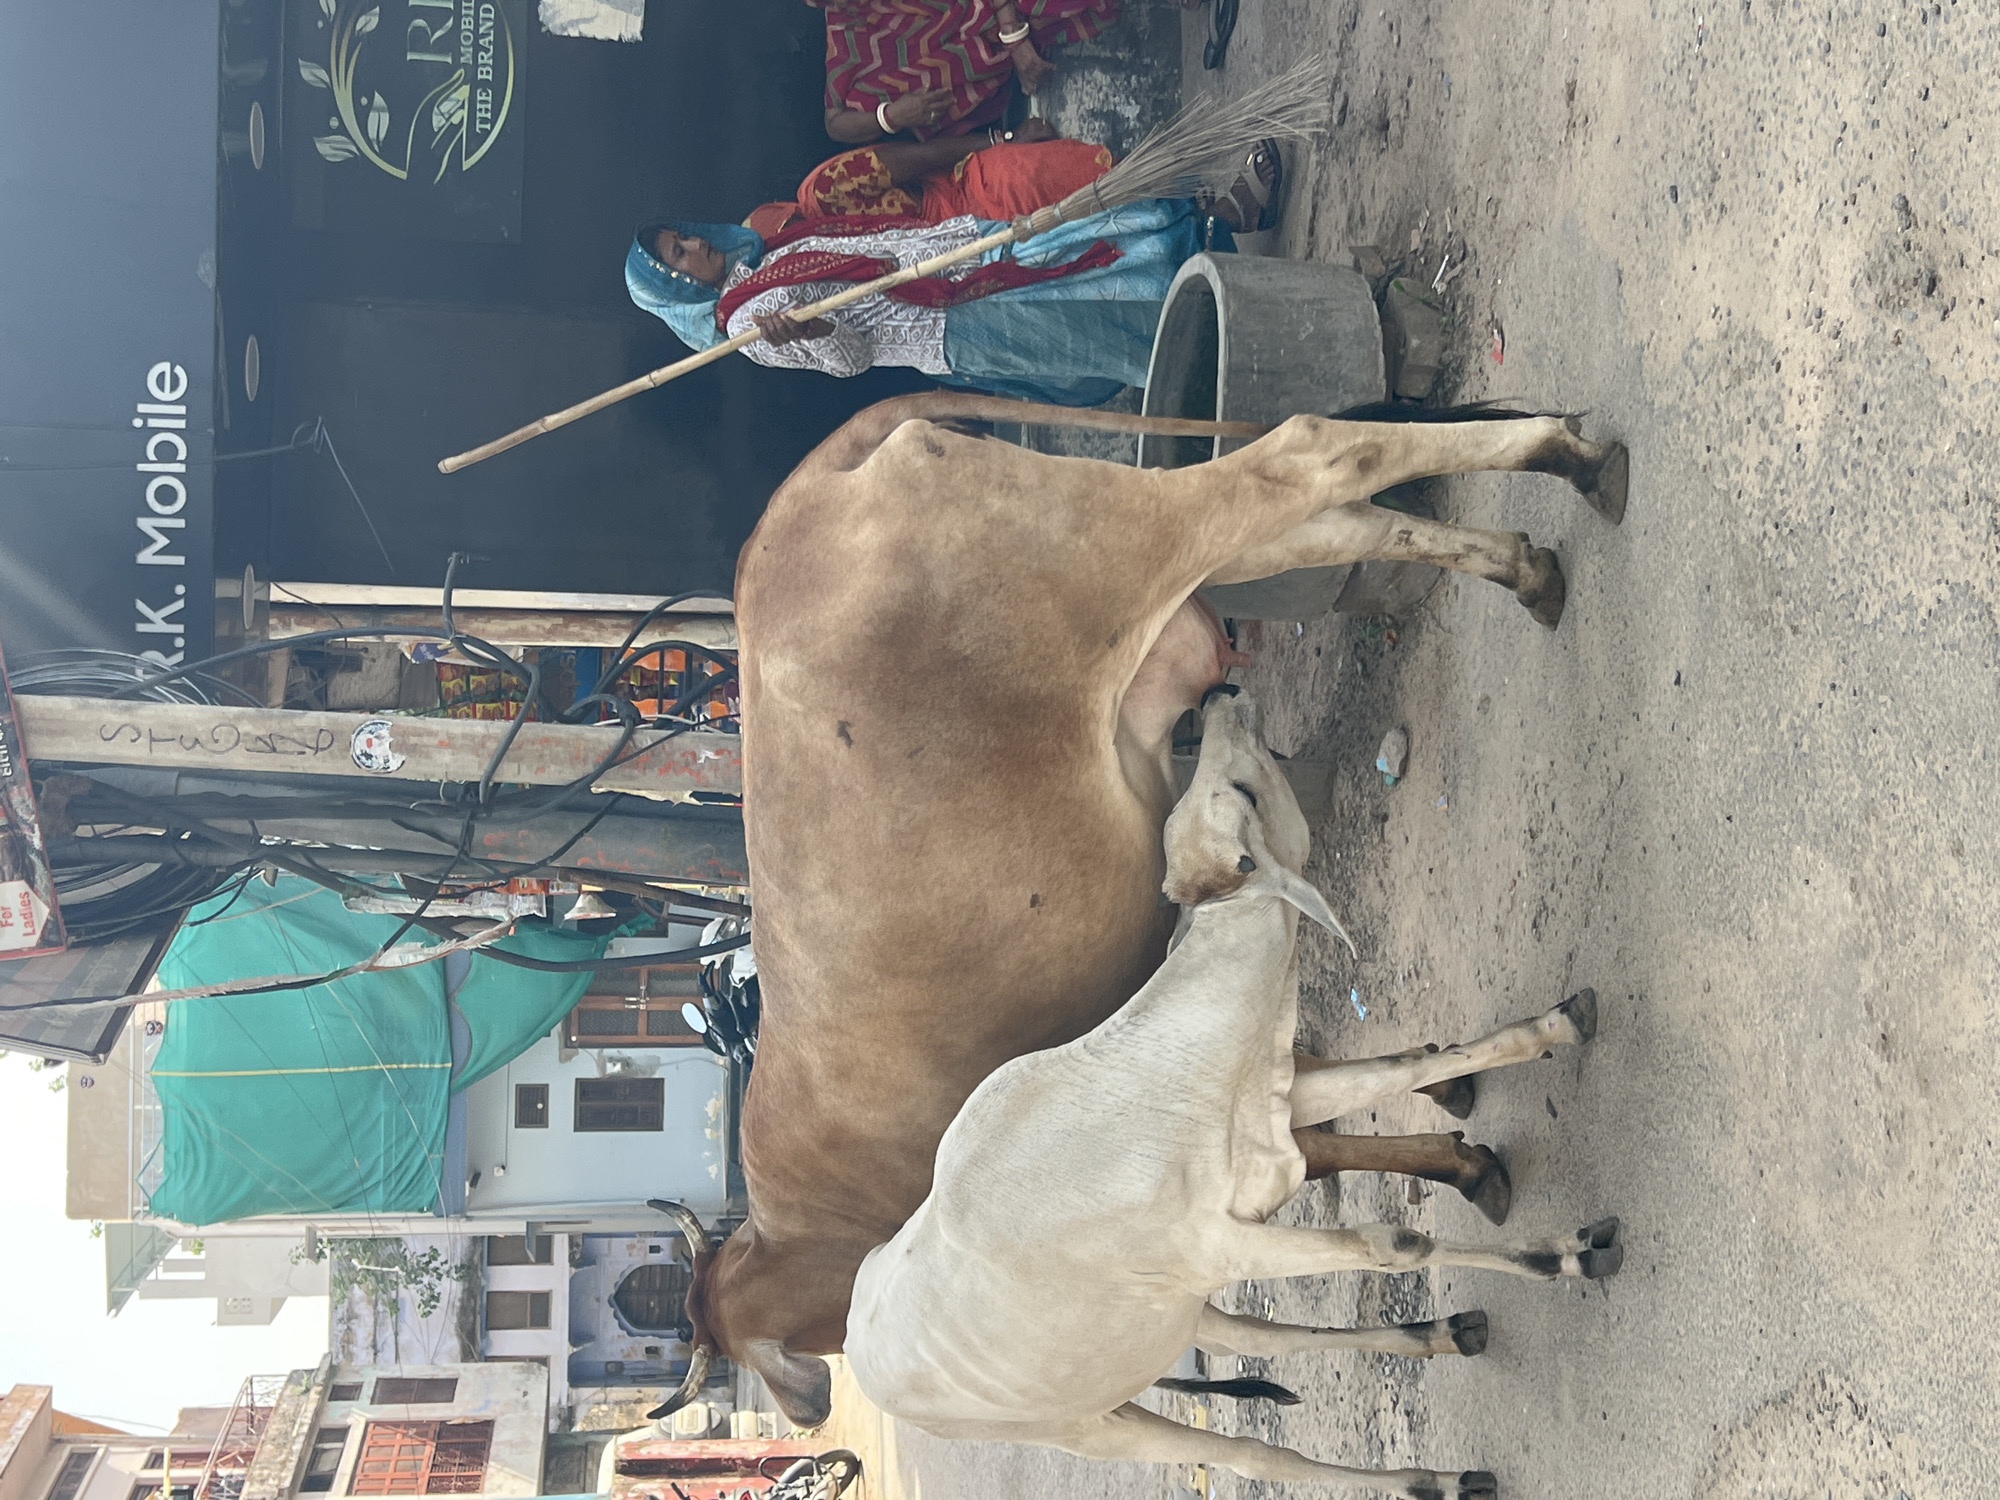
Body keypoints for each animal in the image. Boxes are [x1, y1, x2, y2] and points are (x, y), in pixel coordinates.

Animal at [843, 686, 1614, 1500]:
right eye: (1240, 791)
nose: (1217, 697)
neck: (1148, 1081)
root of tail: (862, 1359)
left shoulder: (1272, 1132)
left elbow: (1403, 1066)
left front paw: (1560, 1024)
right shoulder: (1218, 1240)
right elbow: (1397, 1243)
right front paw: (1566, 1253)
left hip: (1180, 1318)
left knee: (1270, 1339)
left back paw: (1442, 1334)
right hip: (1092, 1422)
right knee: (1258, 1454)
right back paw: (1429, 1478)